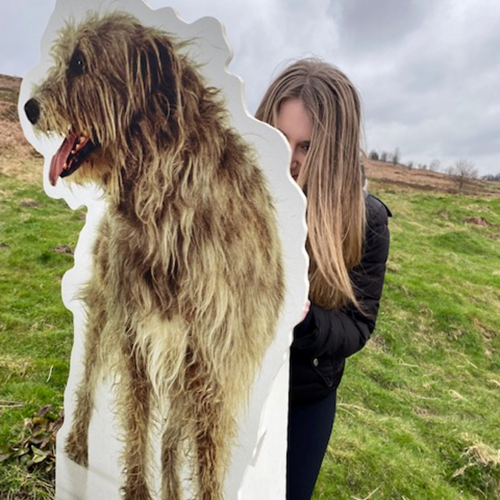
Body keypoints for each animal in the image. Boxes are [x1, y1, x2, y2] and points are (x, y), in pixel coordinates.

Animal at [25, 12, 284, 500]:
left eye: (80, 62)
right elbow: (138, 421)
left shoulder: (212, 361)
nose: (29, 107)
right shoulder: (136, 333)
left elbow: (203, 456)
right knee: (88, 380)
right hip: (106, 312)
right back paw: (76, 443)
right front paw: (136, 490)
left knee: (173, 438)